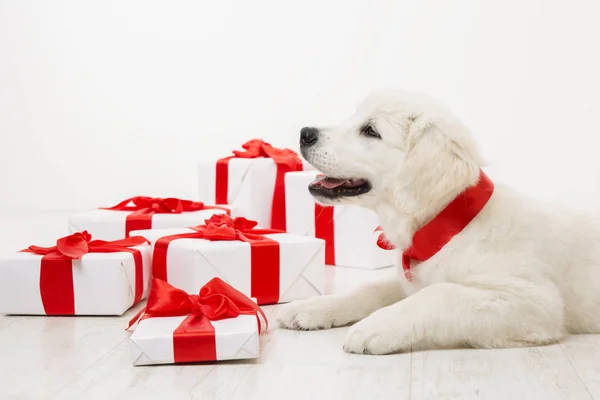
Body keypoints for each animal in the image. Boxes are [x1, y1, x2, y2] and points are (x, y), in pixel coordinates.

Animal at [278, 90, 600, 354]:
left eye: (371, 131)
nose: (305, 133)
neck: (449, 228)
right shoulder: (409, 280)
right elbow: (370, 288)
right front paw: (312, 306)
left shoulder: (532, 302)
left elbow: (441, 294)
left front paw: (375, 325)